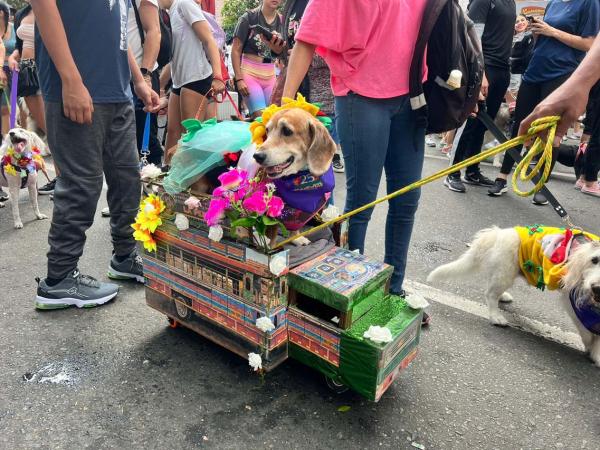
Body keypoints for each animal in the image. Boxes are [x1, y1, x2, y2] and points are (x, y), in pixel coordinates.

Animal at [253, 108, 338, 246]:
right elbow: (271, 239)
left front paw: (296, 238)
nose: (257, 156)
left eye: (287, 131)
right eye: (267, 130)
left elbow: (295, 227)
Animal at [426, 227, 600, 368]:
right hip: (506, 272)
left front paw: (595, 352)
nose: (596, 288)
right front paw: (591, 348)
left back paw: (503, 297)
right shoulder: (571, 300)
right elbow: (586, 330)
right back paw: (496, 316)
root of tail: (497, 233)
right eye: (594, 260)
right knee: (489, 294)